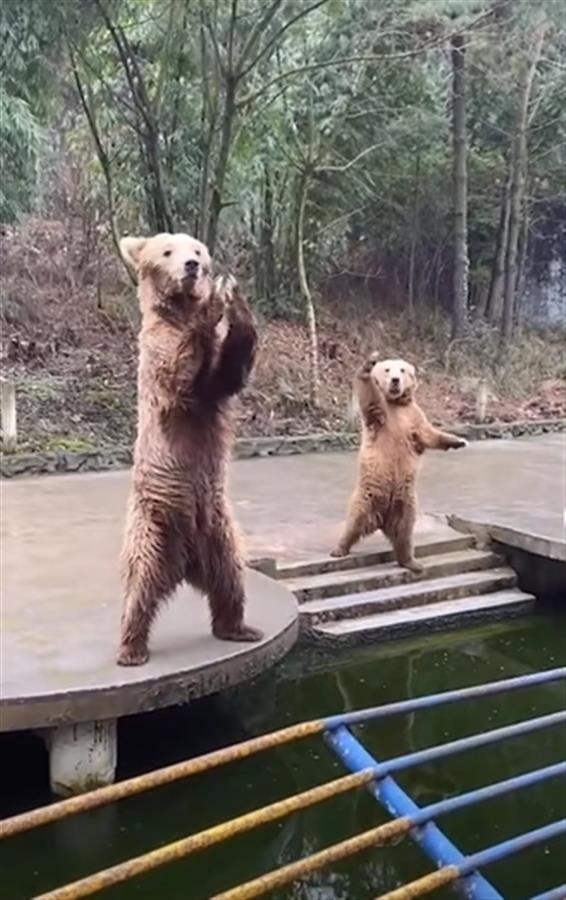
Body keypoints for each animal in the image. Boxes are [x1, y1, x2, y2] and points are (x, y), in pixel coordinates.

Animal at [117, 231, 262, 666]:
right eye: (168, 252)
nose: (193, 267)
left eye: (197, 250)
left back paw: (238, 627)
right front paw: (214, 301)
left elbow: (228, 371)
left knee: (231, 577)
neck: (177, 312)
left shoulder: (215, 388)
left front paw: (236, 300)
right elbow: (180, 374)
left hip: (220, 529)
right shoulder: (159, 357)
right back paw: (131, 648)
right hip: (153, 522)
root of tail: (184, 563)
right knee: (141, 582)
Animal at [331, 353, 467, 573]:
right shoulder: (382, 417)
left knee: (404, 532)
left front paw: (458, 441)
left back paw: (412, 562)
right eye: (387, 369)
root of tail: (381, 520)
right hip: (368, 495)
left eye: (402, 370)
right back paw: (339, 549)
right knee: (354, 521)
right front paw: (368, 365)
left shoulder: (413, 416)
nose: (395, 380)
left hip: (405, 502)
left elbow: (429, 434)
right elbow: (370, 401)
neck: (395, 403)